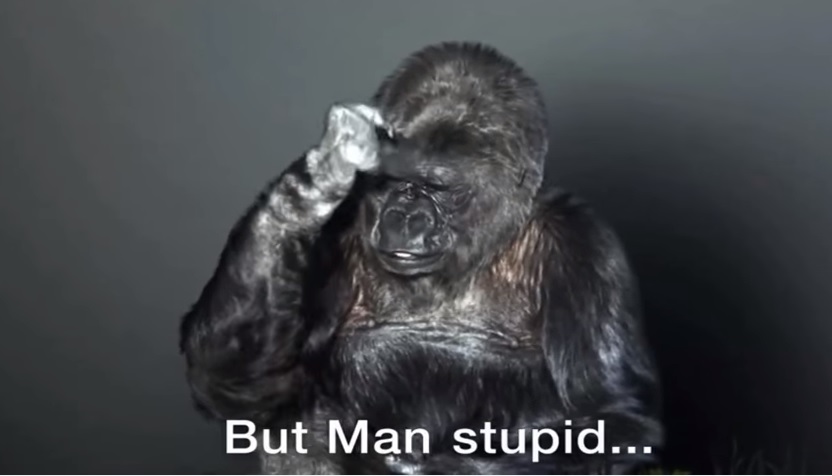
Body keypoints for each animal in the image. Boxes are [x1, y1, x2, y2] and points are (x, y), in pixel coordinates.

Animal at [179, 41, 663, 474]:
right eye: (391, 182)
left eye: (438, 188)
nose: (406, 216)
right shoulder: (336, 232)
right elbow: (243, 385)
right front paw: (322, 175)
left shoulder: (585, 247)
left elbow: (616, 418)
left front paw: (445, 466)